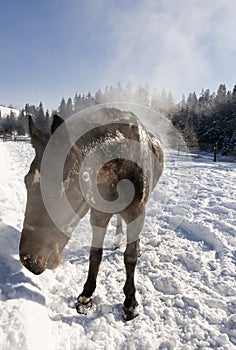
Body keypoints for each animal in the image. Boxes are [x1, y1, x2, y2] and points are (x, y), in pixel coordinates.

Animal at [19, 106, 163, 320]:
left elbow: (129, 257)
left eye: (58, 190)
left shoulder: (136, 211)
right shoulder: (98, 213)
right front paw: (86, 295)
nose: (30, 260)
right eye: (26, 181)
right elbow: (95, 254)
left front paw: (130, 302)